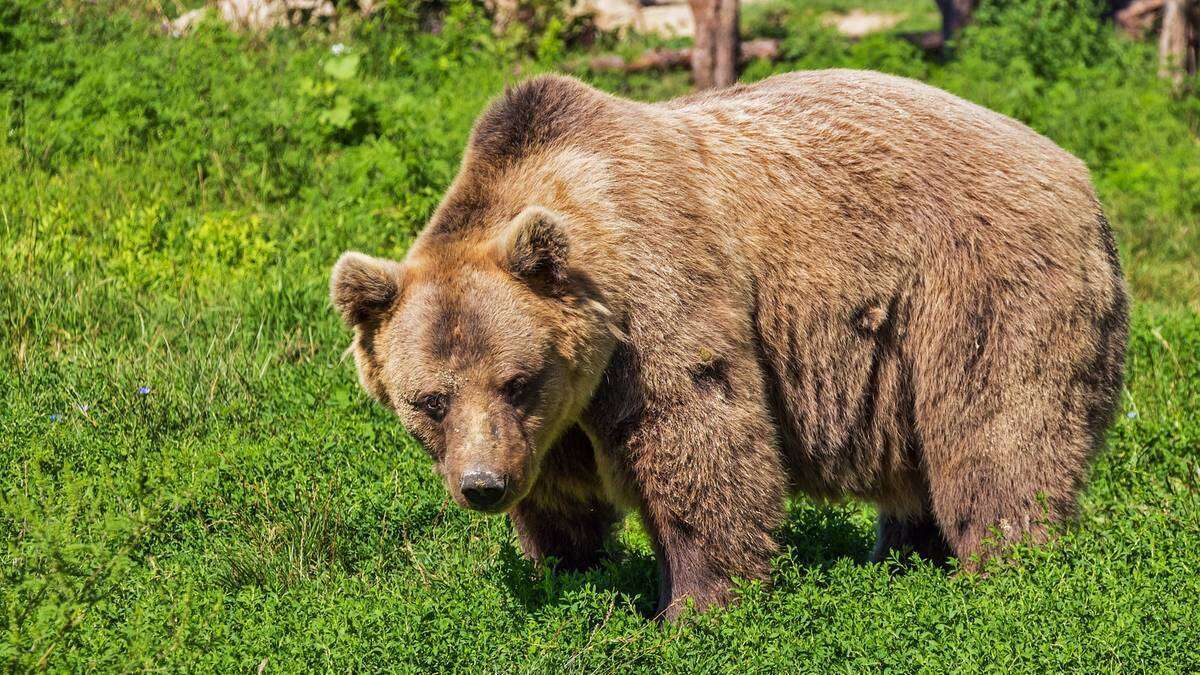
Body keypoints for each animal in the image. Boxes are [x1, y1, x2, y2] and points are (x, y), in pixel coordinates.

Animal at [328, 70, 1123, 619]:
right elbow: (560, 495)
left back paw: (1008, 569)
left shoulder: (657, 298)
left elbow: (699, 438)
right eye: (430, 400)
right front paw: (569, 571)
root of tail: (1079, 173)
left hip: (979, 285)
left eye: (517, 379)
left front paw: (693, 606)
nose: (483, 485)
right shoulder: (555, 420)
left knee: (997, 431)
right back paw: (901, 559)